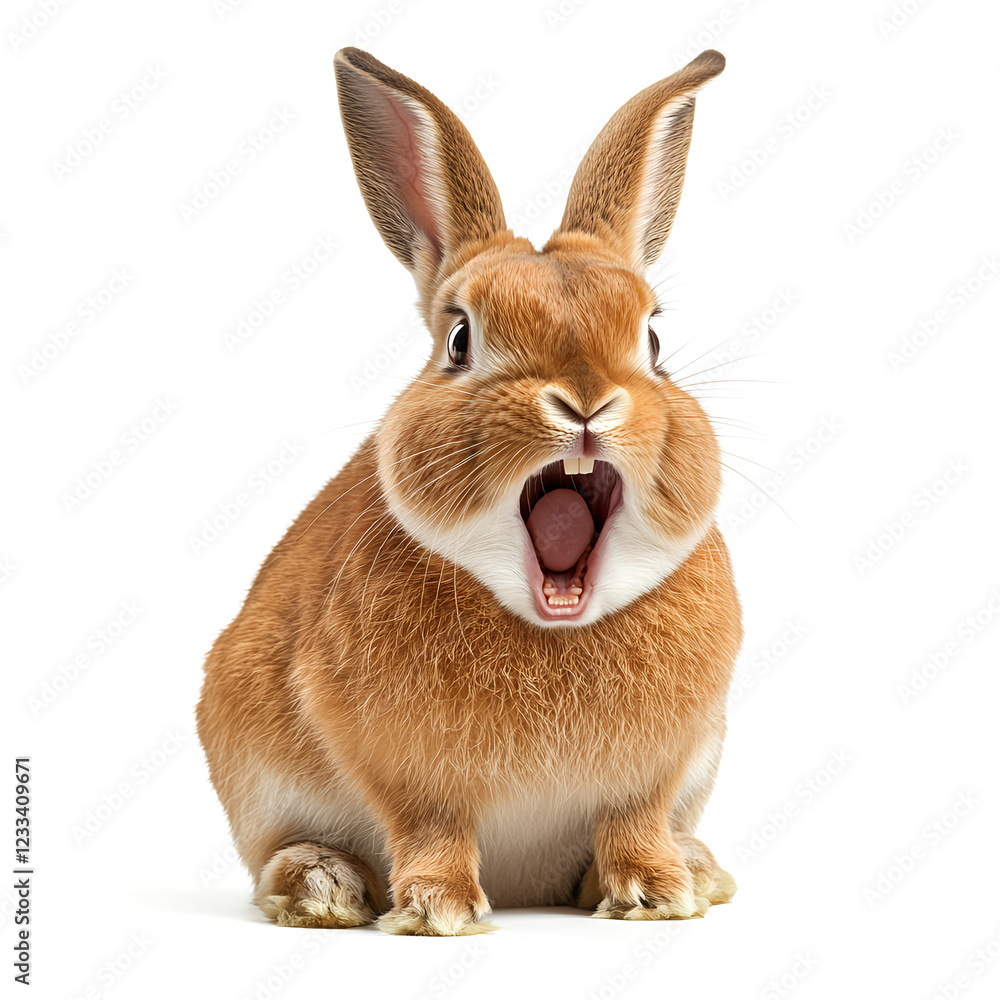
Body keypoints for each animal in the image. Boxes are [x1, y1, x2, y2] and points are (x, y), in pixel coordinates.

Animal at [196, 45, 742, 936]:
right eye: (459, 339)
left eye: (654, 340)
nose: (586, 402)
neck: (551, 622)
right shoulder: (402, 767)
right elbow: (431, 825)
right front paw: (437, 909)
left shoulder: (659, 770)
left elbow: (633, 821)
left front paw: (660, 894)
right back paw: (320, 886)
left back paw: (691, 866)